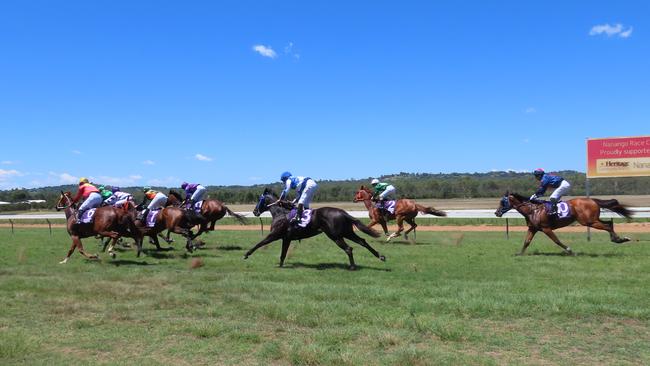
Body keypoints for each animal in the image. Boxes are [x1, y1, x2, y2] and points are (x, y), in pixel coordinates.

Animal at [243, 190, 384, 270]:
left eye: (259, 200)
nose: (254, 211)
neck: (281, 213)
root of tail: (343, 213)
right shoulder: (286, 238)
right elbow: (283, 253)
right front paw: (281, 265)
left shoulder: (274, 235)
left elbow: (260, 243)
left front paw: (246, 254)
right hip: (347, 232)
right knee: (362, 241)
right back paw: (380, 256)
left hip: (335, 236)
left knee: (349, 248)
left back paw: (353, 266)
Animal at [494, 192, 632, 254]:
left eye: (502, 202)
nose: (496, 212)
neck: (533, 210)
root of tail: (592, 200)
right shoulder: (533, 228)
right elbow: (527, 241)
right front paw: (519, 254)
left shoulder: (546, 228)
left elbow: (556, 240)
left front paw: (569, 250)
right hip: (592, 220)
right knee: (609, 223)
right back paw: (617, 239)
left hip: (588, 221)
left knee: (607, 226)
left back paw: (619, 239)